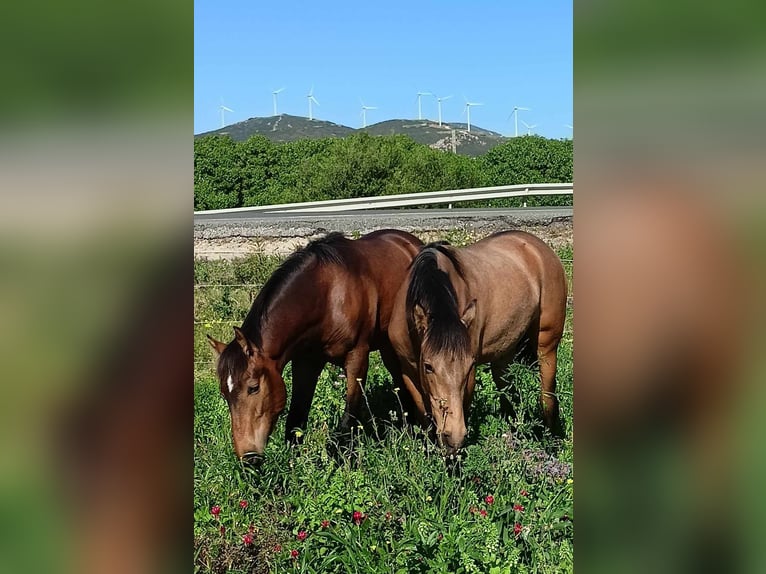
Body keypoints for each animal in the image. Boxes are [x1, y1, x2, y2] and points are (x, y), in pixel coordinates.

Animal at [208, 232, 426, 462]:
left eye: (253, 387)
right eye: (224, 394)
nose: (248, 457)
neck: (328, 295)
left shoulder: (357, 358)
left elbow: (348, 420)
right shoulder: (305, 363)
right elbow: (296, 419)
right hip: (387, 346)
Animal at [392, 232, 568, 456]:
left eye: (468, 367)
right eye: (428, 366)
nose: (453, 437)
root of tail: (539, 247)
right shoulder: (408, 371)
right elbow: (424, 415)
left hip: (547, 346)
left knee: (547, 397)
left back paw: (551, 440)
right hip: (504, 353)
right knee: (507, 392)